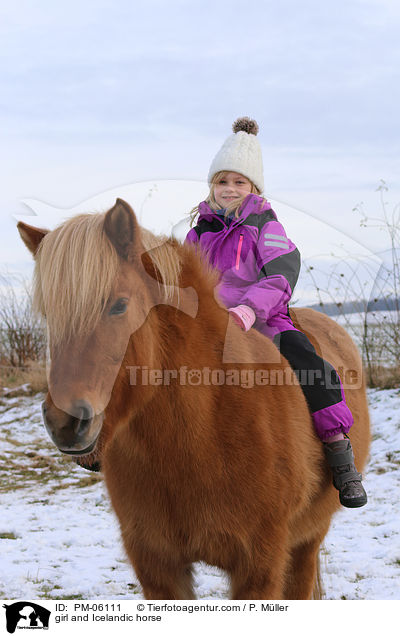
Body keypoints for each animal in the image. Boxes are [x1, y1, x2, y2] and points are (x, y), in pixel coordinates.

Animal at [17, 200, 370, 600]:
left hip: (307, 541)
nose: (63, 420)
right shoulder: (156, 567)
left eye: (119, 306)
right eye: (49, 315)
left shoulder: (260, 567)